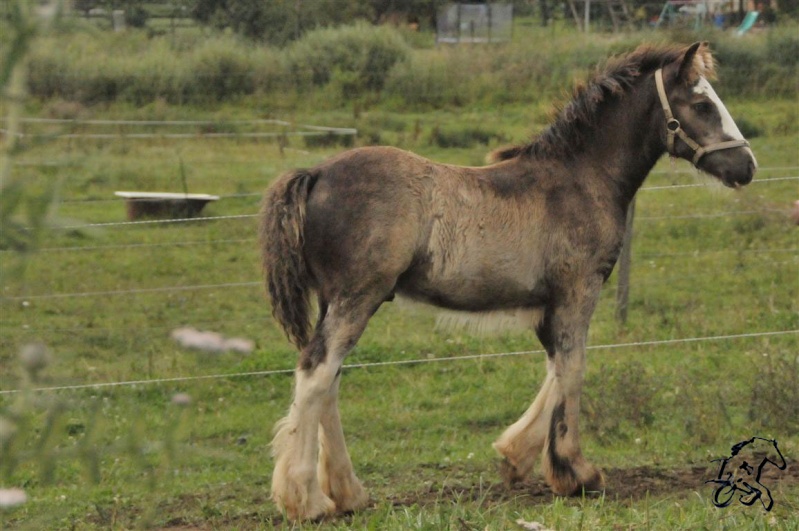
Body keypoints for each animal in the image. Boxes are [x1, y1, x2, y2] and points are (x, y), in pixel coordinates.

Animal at [260, 43, 756, 520]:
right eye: (702, 104)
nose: (747, 166)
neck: (582, 178)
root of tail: (316, 174)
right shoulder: (579, 290)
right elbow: (573, 368)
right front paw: (577, 473)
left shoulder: (548, 304)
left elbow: (555, 368)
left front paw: (516, 457)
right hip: (357, 299)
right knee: (317, 373)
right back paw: (307, 500)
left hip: (339, 302)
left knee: (330, 379)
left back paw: (349, 494)